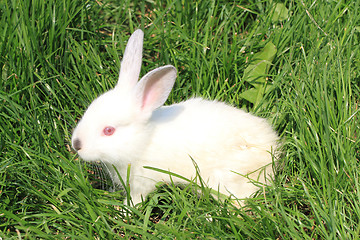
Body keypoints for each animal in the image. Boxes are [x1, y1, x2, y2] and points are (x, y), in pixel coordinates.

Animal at [70, 29, 278, 205]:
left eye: (109, 130)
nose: (76, 145)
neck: (144, 141)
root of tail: (273, 150)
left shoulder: (142, 182)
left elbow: (136, 199)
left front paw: (124, 212)